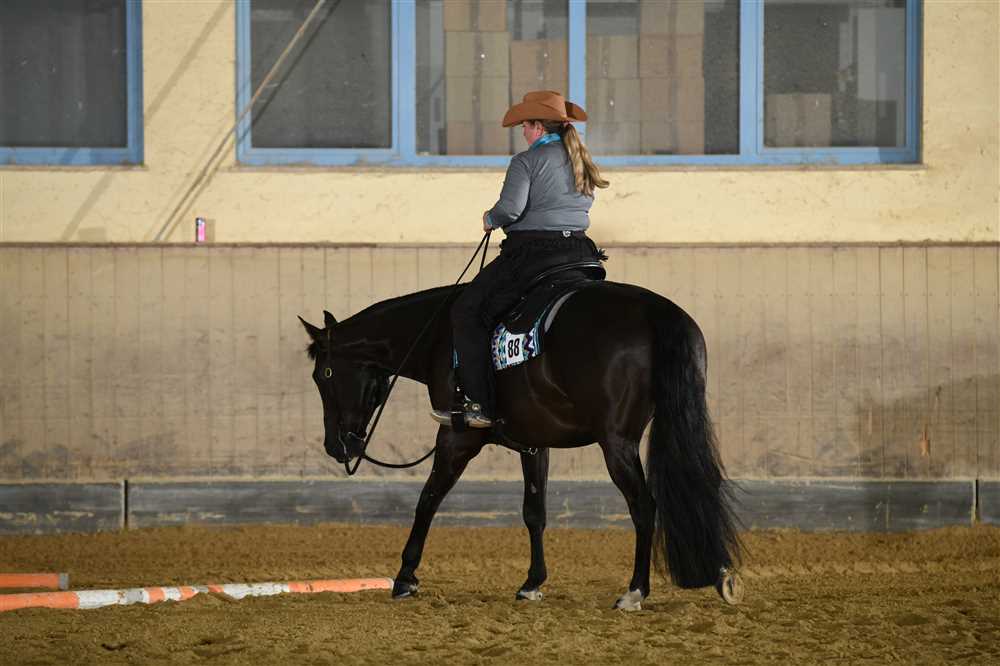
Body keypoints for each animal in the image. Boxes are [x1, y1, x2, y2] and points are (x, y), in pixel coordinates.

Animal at [299, 280, 744, 610]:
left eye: (323, 375)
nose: (335, 447)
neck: (439, 336)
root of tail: (656, 312)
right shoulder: (534, 445)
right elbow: (534, 512)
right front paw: (532, 583)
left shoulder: (458, 437)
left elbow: (428, 499)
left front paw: (405, 578)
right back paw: (721, 574)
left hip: (617, 444)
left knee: (644, 506)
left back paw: (634, 591)